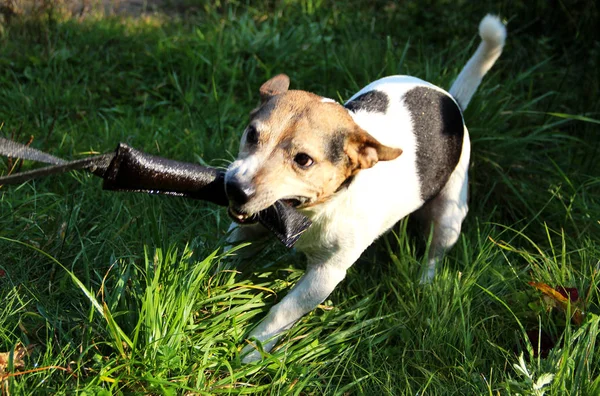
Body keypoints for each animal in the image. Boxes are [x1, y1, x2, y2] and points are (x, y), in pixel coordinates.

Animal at [223, 14, 504, 362]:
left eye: (303, 160)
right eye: (251, 134)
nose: (235, 188)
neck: (315, 210)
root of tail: (453, 101)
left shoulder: (325, 275)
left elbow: (282, 312)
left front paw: (254, 351)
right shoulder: (248, 228)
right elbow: (228, 255)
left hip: (450, 214)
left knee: (436, 251)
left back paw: (424, 281)